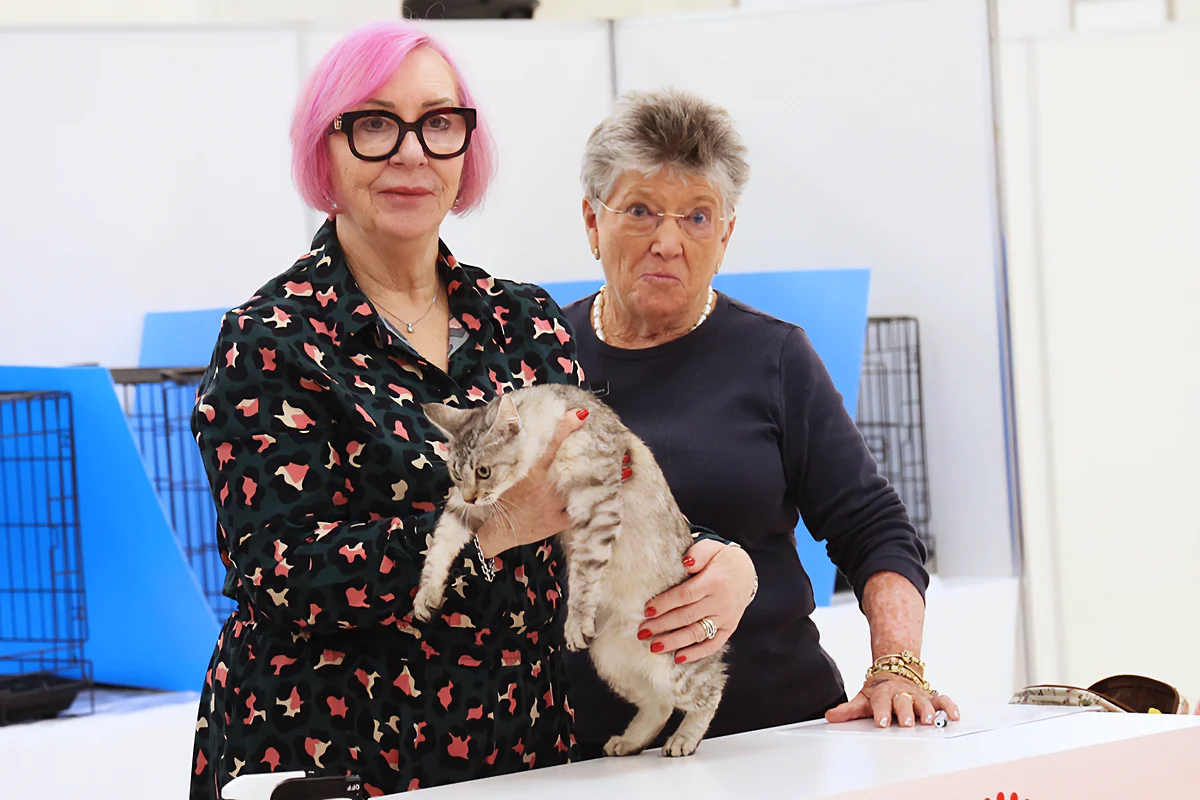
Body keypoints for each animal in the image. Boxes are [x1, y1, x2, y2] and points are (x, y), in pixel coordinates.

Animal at [412, 383, 728, 757]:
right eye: (457, 474)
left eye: (484, 471)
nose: (472, 495)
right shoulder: (463, 509)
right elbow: (439, 544)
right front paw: (426, 594)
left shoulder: (595, 503)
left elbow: (584, 574)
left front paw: (575, 621)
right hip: (611, 659)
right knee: (659, 704)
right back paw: (628, 742)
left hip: (675, 665)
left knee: (712, 688)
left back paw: (684, 739)